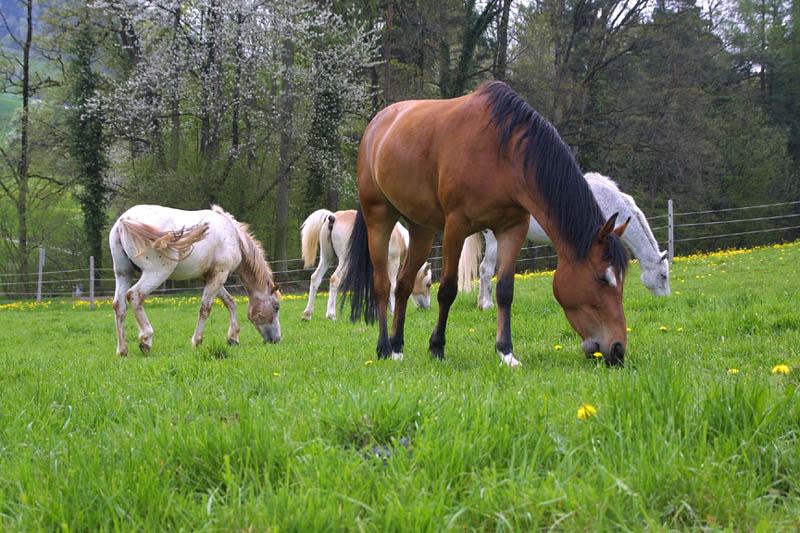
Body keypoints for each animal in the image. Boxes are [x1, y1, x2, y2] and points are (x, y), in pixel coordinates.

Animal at [108, 204, 280, 354]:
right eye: (276, 307)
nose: (276, 339)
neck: (234, 237)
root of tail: (124, 220)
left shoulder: (210, 278)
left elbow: (229, 302)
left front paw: (233, 338)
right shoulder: (219, 275)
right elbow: (205, 308)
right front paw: (197, 341)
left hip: (123, 274)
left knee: (119, 306)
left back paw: (122, 350)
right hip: (156, 273)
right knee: (135, 296)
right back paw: (146, 339)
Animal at [298, 209, 432, 320]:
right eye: (428, 284)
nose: (427, 307)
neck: (398, 235)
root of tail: (333, 217)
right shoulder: (393, 262)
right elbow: (392, 286)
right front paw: (393, 311)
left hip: (326, 258)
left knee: (315, 278)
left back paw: (307, 314)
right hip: (345, 261)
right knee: (335, 279)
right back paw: (331, 315)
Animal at [340, 82, 628, 366]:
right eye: (602, 279)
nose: (617, 349)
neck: (503, 154)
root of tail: (376, 125)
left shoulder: (513, 229)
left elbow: (505, 290)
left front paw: (506, 352)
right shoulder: (455, 227)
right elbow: (448, 289)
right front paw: (437, 347)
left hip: (422, 229)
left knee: (403, 284)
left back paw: (398, 347)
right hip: (379, 218)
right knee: (382, 285)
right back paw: (384, 348)